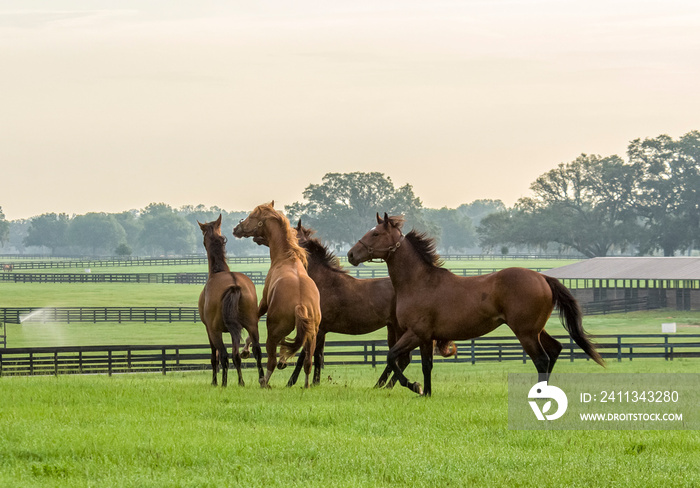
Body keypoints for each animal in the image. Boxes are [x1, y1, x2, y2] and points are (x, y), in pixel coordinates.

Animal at [197, 215, 262, 386]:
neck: (218, 271)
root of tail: (234, 285)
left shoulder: (209, 330)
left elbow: (215, 357)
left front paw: (215, 381)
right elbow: (237, 356)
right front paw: (241, 382)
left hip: (215, 331)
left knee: (224, 356)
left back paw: (223, 384)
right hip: (252, 326)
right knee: (255, 352)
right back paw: (261, 381)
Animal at [234, 200, 324, 386]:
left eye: (252, 216)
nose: (237, 228)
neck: (287, 258)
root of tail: (300, 305)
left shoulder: (264, 303)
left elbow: (254, 325)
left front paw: (245, 350)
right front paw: (284, 359)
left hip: (273, 333)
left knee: (271, 361)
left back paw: (264, 381)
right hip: (311, 336)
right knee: (308, 362)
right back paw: (305, 385)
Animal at [348, 214, 604, 396]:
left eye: (376, 234)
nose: (351, 255)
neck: (419, 281)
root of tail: (542, 277)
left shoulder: (416, 333)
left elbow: (392, 357)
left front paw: (414, 386)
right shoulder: (426, 337)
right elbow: (426, 365)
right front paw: (426, 392)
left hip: (526, 333)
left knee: (542, 359)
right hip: (536, 330)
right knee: (554, 350)